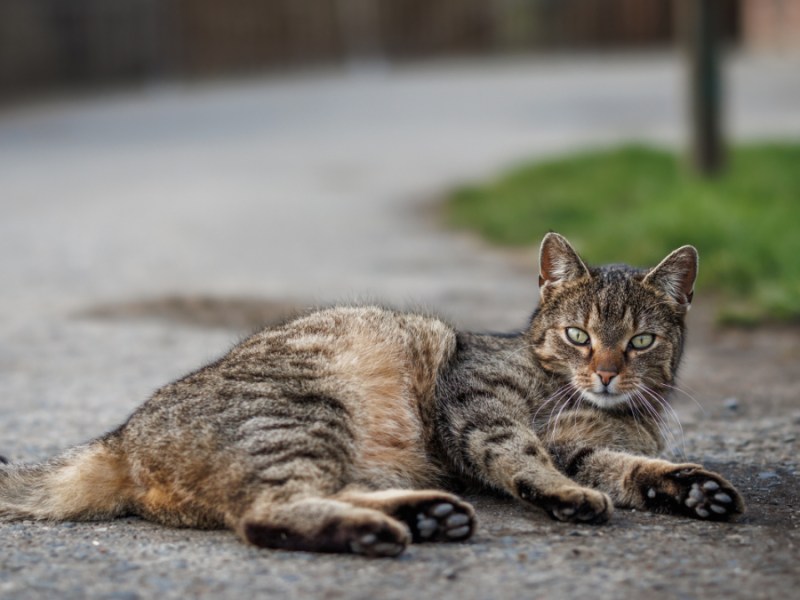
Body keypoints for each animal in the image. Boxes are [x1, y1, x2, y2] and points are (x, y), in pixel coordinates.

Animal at [0, 234, 744, 556]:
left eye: (641, 341)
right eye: (578, 335)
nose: (609, 374)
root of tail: (119, 437)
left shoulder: (588, 447)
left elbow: (631, 467)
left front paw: (691, 487)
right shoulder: (479, 406)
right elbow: (523, 456)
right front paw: (565, 496)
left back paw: (425, 517)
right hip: (301, 414)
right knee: (264, 514)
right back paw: (380, 532)